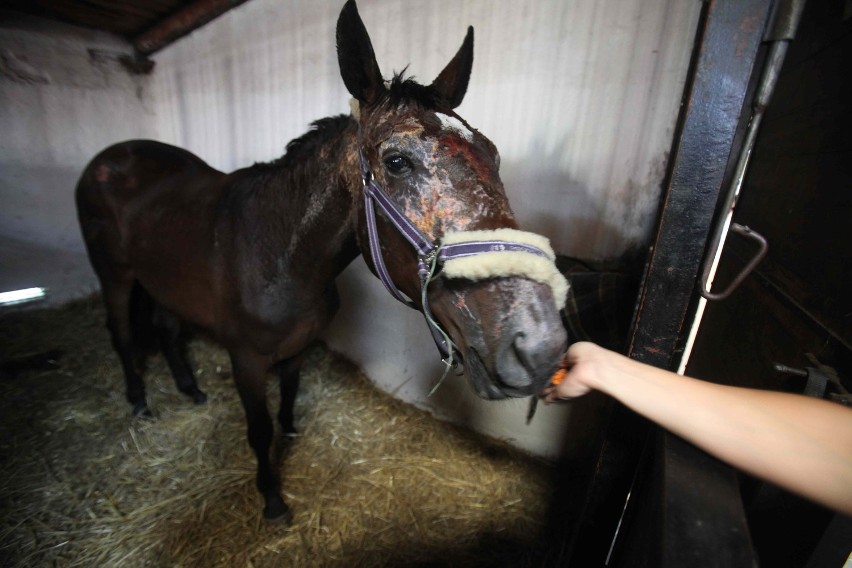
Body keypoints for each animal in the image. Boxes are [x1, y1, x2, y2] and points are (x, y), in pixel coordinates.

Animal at [73, 0, 564, 520]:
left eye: (492, 154)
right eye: (396, 162)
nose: (538, 345)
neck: (280, 257)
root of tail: (112, 157)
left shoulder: (299, 346)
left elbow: (288, 399)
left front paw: (289, 434)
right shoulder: (246, 360)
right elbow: (258, 429)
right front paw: (271, 497)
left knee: (167, 328)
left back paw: (189, 388)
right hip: (115, 276)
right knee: (122, 332)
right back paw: (139, 402)